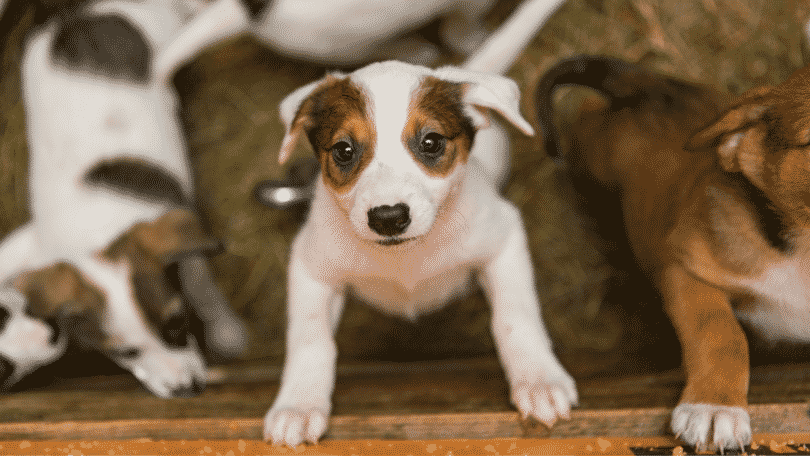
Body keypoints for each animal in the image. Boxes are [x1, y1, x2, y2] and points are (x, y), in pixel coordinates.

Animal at [0, 0, 246, 396]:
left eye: (177, 324)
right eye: (125, 353)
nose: (186, 389)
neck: (96, 233)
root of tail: (76, 10)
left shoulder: (183, 243)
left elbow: (202, 285)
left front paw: (226, 332)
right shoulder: (35, 242)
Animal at [256, 0, 572, 446]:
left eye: (431, 142)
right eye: (344, 150)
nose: (388, 217)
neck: (405, 259)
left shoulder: (504, 237)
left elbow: (515, 316)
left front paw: (539, 379)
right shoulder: (311, 264)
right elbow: (310, 338)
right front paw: (298, 405)